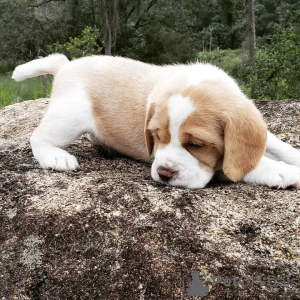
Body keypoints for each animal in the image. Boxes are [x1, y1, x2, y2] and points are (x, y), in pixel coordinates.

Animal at [11, 54, 300, 188]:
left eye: (196, 145)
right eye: (157, 136)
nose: (164, 174)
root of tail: (65, 65)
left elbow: (273, 145)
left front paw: (291, 158)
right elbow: (247, 163)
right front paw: (282, 171)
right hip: (71, 114)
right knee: (38, 137)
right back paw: (56, 157)